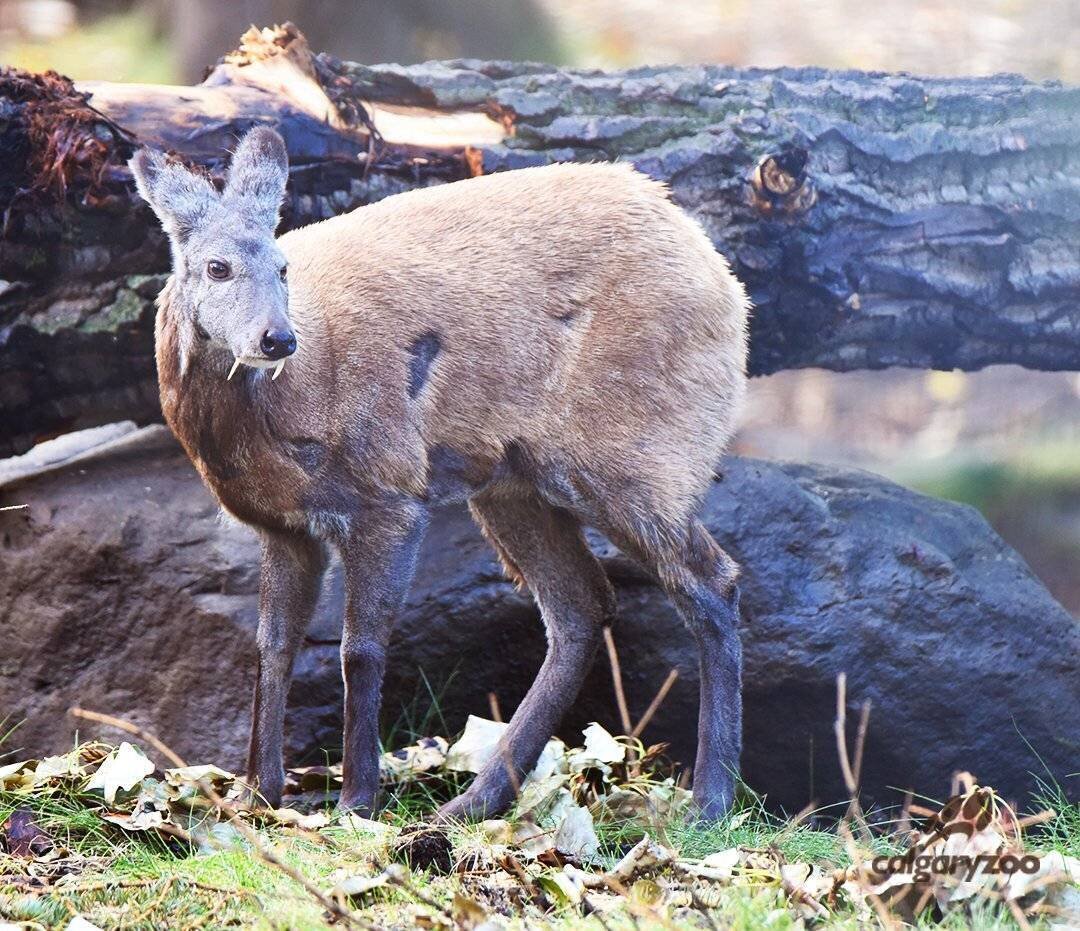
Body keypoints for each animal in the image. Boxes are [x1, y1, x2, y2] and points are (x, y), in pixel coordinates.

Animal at [128, 125, 751, 825]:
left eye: (282, 266)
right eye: (217, 267)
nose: (277, 339)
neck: (273, 424)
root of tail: (724, 280)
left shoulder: (390, 493)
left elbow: (359, 649)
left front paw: (356, 801)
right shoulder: (284, 527)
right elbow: (272, 647)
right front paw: (255, 795)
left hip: (636, 455)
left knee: (710, 581)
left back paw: (711, 800)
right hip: (516, 482)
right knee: (581, 605)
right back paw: (473, 801)